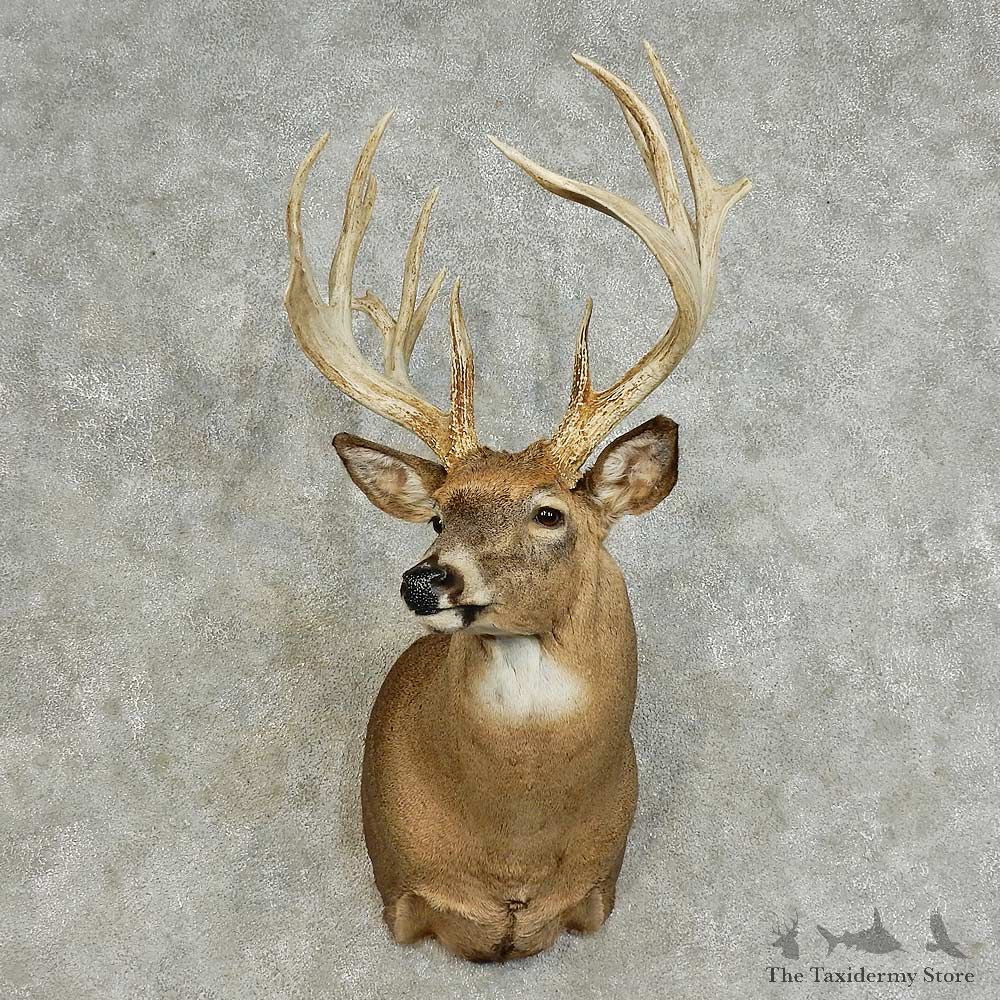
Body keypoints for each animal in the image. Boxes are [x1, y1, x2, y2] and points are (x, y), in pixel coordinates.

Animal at [283, 42, 749, 962]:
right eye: (439, 514)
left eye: (549, 512)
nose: (425, 579)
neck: (514, 851)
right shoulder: (404, 896)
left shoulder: (597, 895)